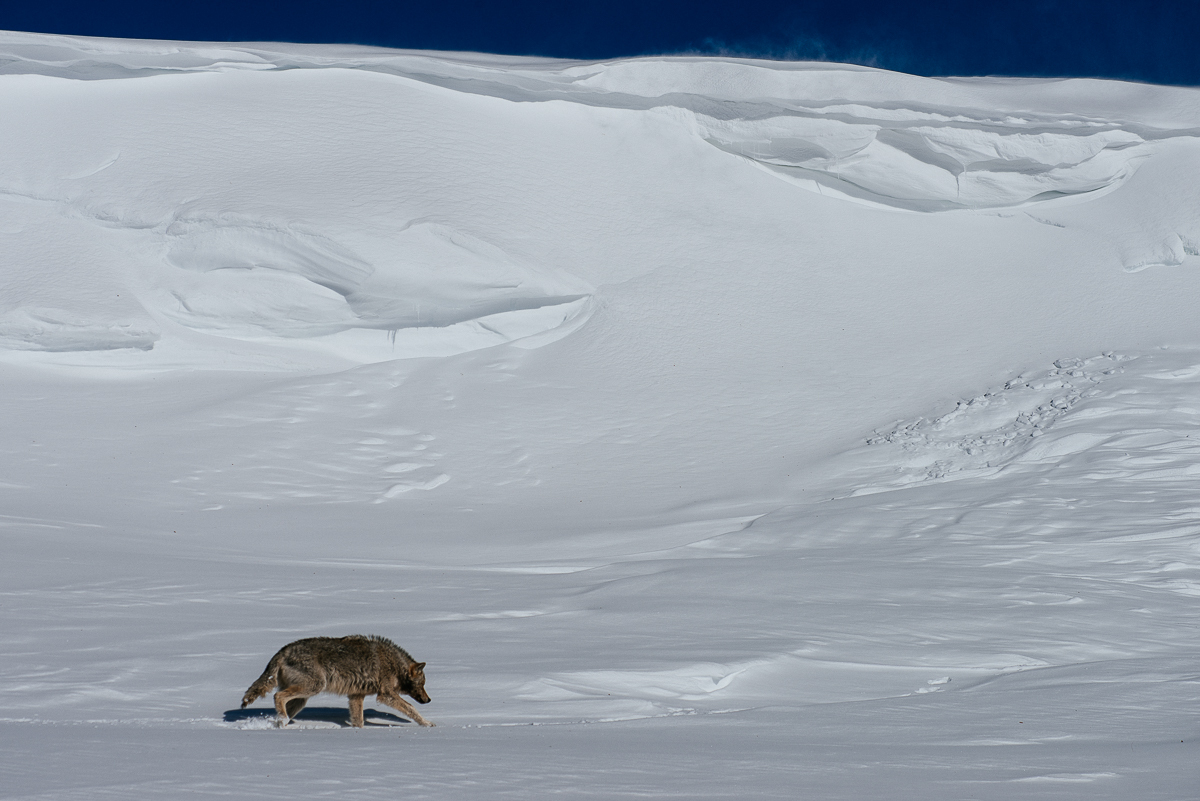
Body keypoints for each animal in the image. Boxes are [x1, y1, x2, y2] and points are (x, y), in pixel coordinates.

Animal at [241, 633, 434, 729]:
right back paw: (282, 720)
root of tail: (282, 651)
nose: (428, 700)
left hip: (302, 699)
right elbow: (411, 708)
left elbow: (358, 721)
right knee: (278, 696)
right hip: (314, 687)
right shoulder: (386, 695)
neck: (394, 663)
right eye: (422, 684)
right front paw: (427, 724)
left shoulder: (356, 696)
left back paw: (279, 723)